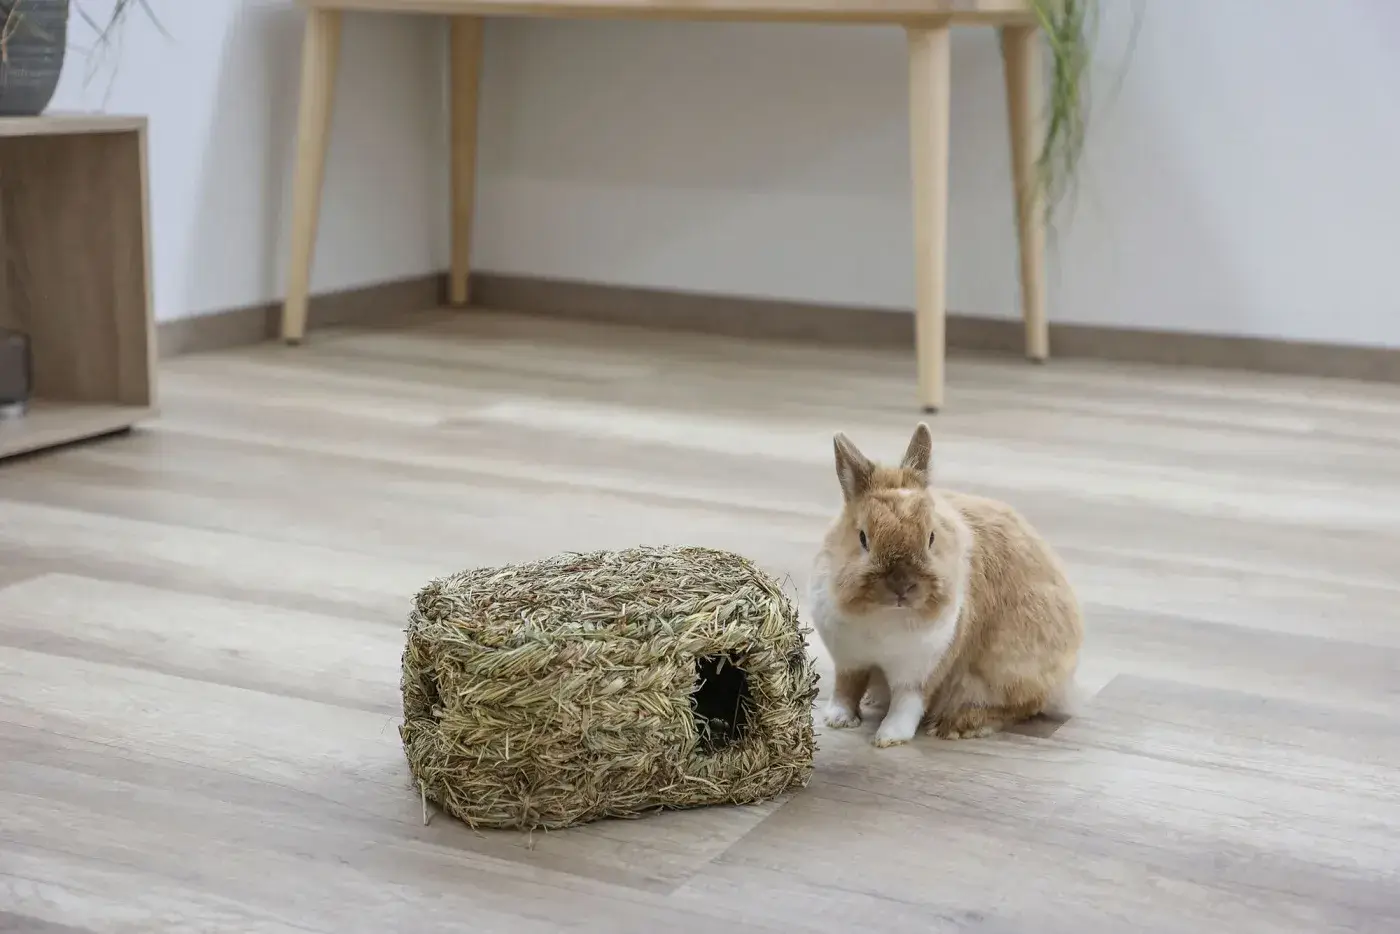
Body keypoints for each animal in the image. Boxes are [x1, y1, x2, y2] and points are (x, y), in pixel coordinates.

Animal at [812, 422, 1080, 744]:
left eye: (931, 538)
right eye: (863, 538)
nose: (902, 587)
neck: (885, 616)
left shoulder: (921, 670)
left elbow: (907, 704)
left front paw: (889, 737)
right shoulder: (850, 660)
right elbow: (845, 689)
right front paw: (837, 719)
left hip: (1009, 673)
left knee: (1021, 707)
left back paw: (957, 725)